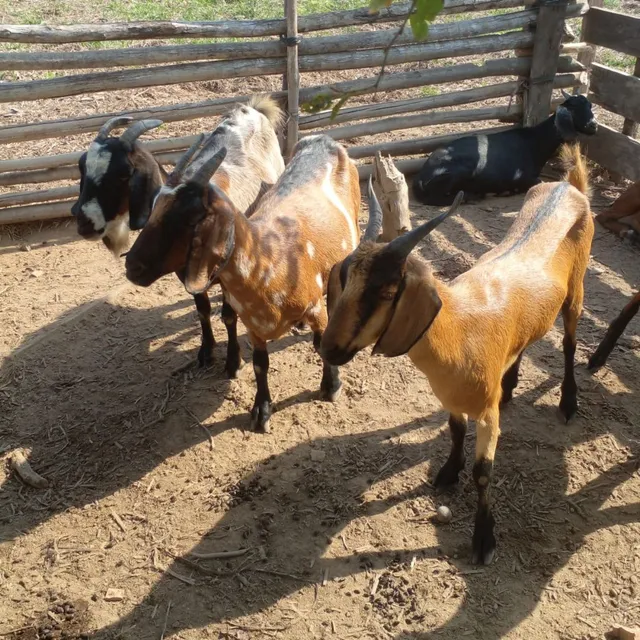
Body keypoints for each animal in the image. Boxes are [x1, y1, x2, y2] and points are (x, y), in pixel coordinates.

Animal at [73, 97, 285, 372]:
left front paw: (233, 361)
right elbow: (203, 310)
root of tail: (251, 108)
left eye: (123, 173)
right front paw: (206, 352)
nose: (84, 223)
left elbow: (229, 316)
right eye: (82, 168)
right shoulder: (186, 276)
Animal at [126, 134, 360, 433]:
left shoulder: (315, 308)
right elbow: (260, 364)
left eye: (189, 219)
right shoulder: (253, 325)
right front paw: (261, 410)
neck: (270, 262)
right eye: (154, 208)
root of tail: (322, 139)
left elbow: (321, 346)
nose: (131, 266)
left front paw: (331, 387)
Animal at [322, 144, 594, 564]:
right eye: (344, 279)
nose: (328, 348)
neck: (457, 329)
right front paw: (449, 472)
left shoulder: (486, 414)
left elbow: (484, 472)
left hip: (576, 290)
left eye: (386, 292)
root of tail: (569, 186)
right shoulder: (450, 399)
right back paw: (510, 385)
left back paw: (567, 402)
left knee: (568, 343)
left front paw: (484, 539)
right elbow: (454, 431)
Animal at [412, 91, 597, 206]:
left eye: (590, 106)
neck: (534, 141)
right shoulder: (524, 177)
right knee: (436, 198)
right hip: (456, 173)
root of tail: (421, 176)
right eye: (573, 107)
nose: (593, 125)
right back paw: (474, 196)